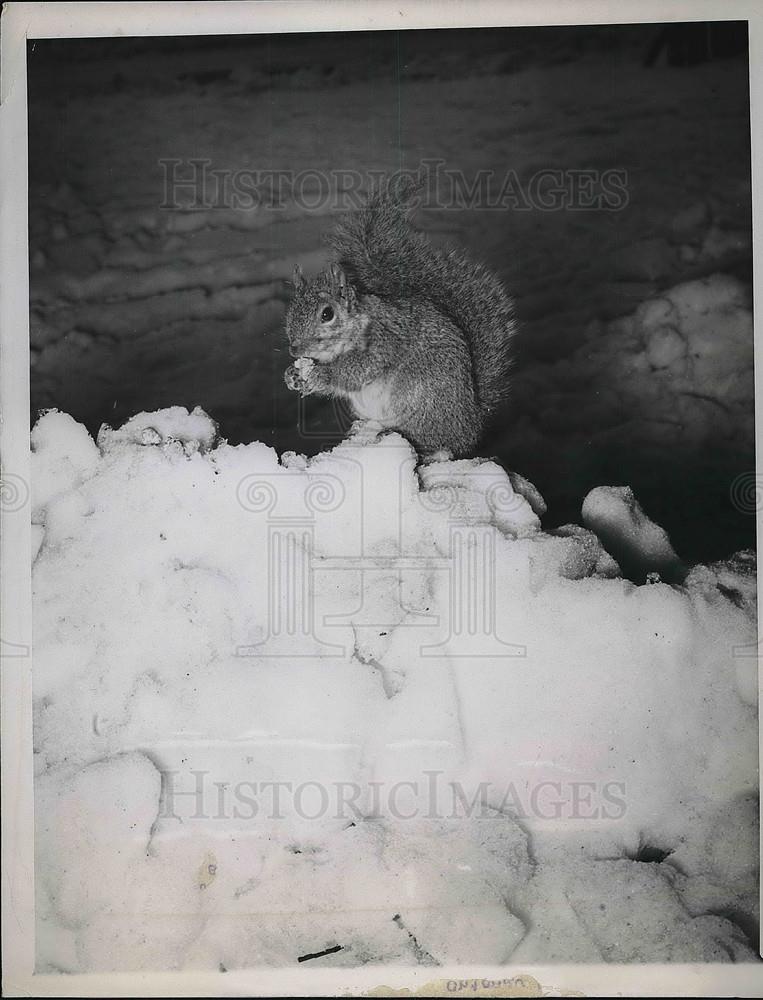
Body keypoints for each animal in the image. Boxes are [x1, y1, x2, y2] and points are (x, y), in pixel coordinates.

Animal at [284, 178, 516, 458]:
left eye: (327, 314)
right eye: (290, 312)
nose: (295, 349)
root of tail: (470, 425)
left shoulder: (384, 341)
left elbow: (356, 370)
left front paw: (320, 375)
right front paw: (292, 375)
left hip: (421, 397)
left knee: (432, 442)